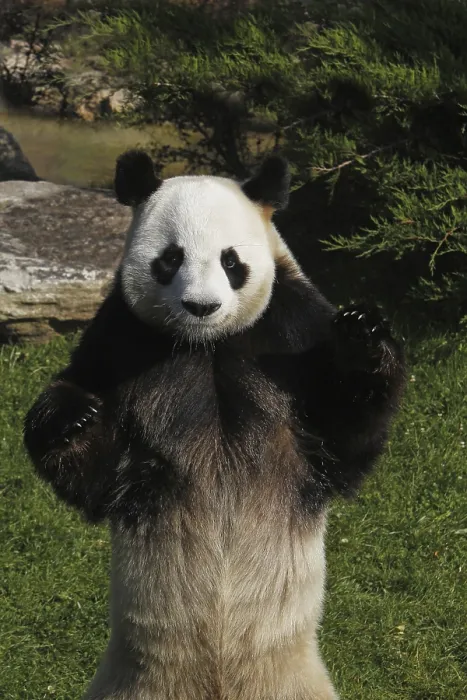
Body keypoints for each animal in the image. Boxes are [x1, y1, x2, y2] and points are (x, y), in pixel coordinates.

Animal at [24, 150, 405, 700]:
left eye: (231, 261)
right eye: (170, 259)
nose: (201, 307)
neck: (206, 344)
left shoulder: (291, 330)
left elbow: (344, 439)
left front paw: (363, 339)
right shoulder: (120, 338)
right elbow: (96, 476)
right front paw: (72, 417)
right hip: (134, 681)